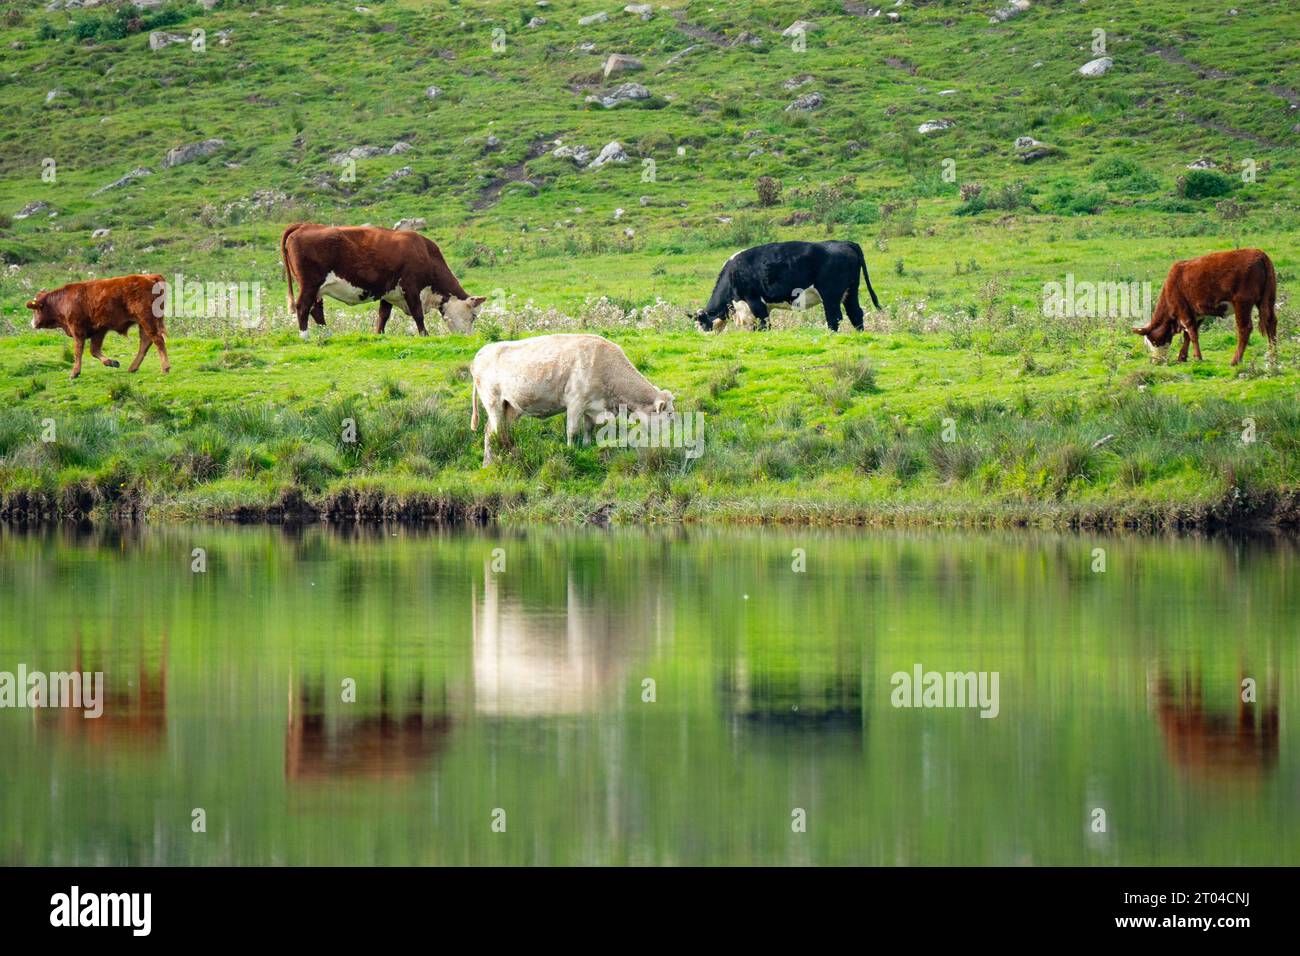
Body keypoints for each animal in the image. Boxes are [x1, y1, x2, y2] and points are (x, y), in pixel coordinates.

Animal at [25, 274, 169, 379]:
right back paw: (133, 368)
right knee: (146, 342)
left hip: (146, 319)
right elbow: (94, 350)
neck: (62, 301)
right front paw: (112, 362)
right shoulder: (99, 330)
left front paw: (74, 373)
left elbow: (78, 351)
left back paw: (165, 368)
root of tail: (151, 277)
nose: (32, 323)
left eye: (35, 310)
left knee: (157, 340)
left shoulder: (78, 330)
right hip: (142, 323)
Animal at [280, 223, 485, 338]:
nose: (469, 337)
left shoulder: (389, 292)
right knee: (303, 306)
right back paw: (304, 335)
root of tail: (304, 226)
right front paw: (425, 335)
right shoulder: (411, 288)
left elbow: (383, 315)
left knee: (316, 309)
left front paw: (379, 335)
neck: (426, 253)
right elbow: (418, 314)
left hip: (317, 288)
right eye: (474, 316)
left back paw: (327, 334)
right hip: (309, 284)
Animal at [470, 333, 674, 466]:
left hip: (511, 407)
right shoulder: (575, 402)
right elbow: (572, 430)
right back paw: (492, 461)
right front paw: (571, 450)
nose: (670, 439)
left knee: (499, 431)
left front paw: (586, 446)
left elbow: (589, 428)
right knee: (493, 432)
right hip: (493, 403)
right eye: (670, 414)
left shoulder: (591, 405)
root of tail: (482, 352)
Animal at [693, 240, 881, 333]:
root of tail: (846, 243)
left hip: (830, 295)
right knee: (855, 313)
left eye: (701, 325)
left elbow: (763, 323)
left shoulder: (754, 301)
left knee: (834, 317)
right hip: (851, 291)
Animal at [1132, 248, 1277, 365]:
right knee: (1271, 322)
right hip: (1268, 299)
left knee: (1244, 328)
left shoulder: (1183, 309)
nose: (1155, 361)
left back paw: (1236, 360)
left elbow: (1192, 333)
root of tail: (1259, 253)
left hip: (1242, 303)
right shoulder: (1197, 313)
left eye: (1153, 341)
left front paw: (1197, 357)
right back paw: (1272, 355)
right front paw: (1182, 357)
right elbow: (1188, 335)